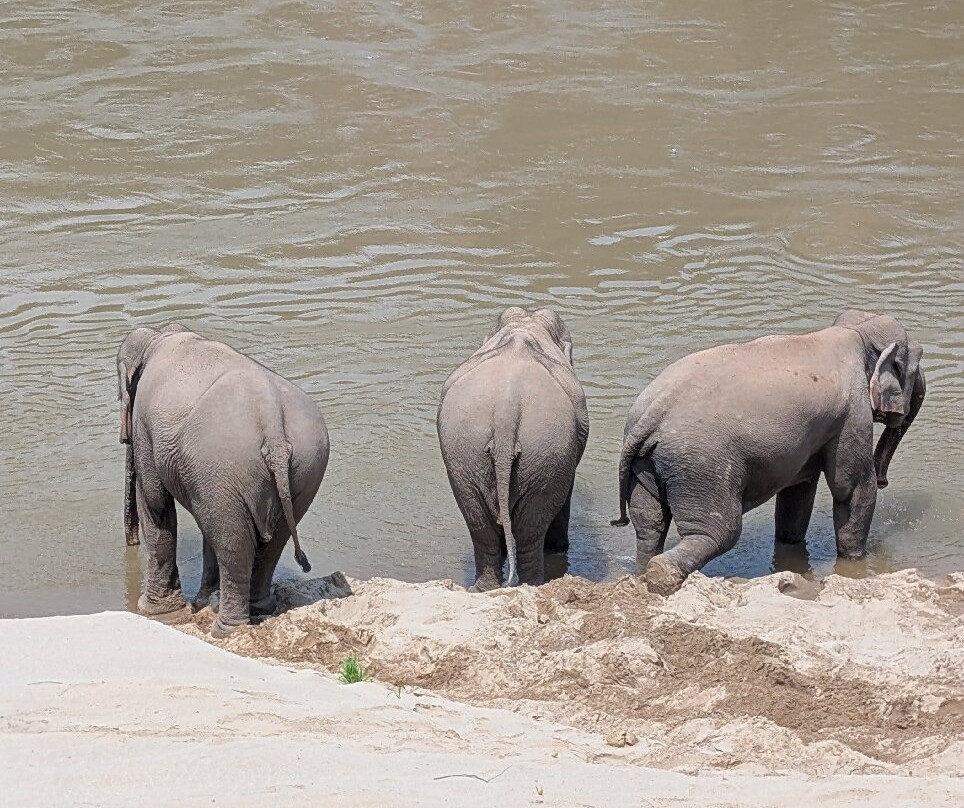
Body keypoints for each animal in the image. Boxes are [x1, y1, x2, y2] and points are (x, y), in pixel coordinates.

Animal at [118, 323, 330, 637]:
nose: (130, 542)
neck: (161, 335)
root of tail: (273, 424)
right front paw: (201, 601)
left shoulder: (145, 427)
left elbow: (155, 503)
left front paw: (157, 612)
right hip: (303, 468)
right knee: (265, 542)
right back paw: (257, 611)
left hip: (224, 463)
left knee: (233, 543)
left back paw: (226, 631)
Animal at [437, 307, 589, 590]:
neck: (525, 325)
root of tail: (506, 412)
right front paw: (558, 548)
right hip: (547, 452)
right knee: (530, 527)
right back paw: (533, 583)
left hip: (468, 453)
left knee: (479, 521)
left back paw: (485, 588)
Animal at [612, 310, 925, 596]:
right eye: (918, 357)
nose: (885, 480)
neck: (853, 333)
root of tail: (653, 413)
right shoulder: (852, 414)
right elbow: (851, 488)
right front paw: (855, 561)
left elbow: (799, 490)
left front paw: (790, 543)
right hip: (701, 468)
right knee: (719, 532)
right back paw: (661, 574)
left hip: (648, 466)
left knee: (650, 525)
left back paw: (642, 573)